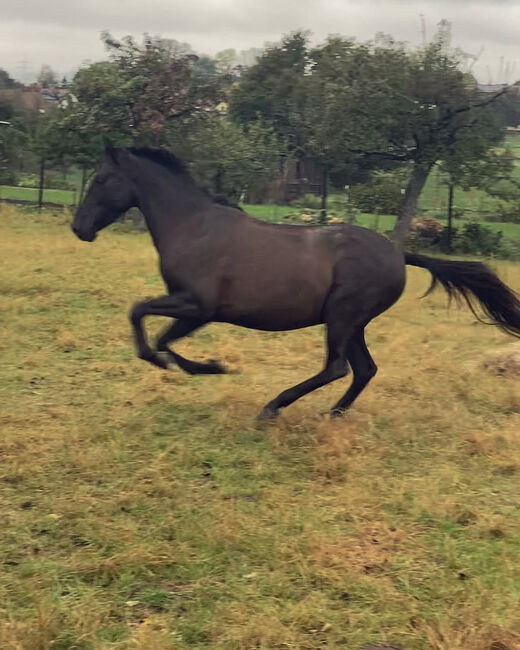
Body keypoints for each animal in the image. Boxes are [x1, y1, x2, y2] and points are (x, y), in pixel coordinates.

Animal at [72, 146, 520, 418]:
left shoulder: (198, 306)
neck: (192, 226)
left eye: (100, 179)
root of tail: (399, 254)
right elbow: (153, 330)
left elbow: (148, 325)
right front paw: (200, 366)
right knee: (364, 369)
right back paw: (332, 414)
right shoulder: (189, 306)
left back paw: (273, 407)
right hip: (353, 324)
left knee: (337, 367)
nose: (79, 228)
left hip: (342, 317)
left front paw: (208, 368)